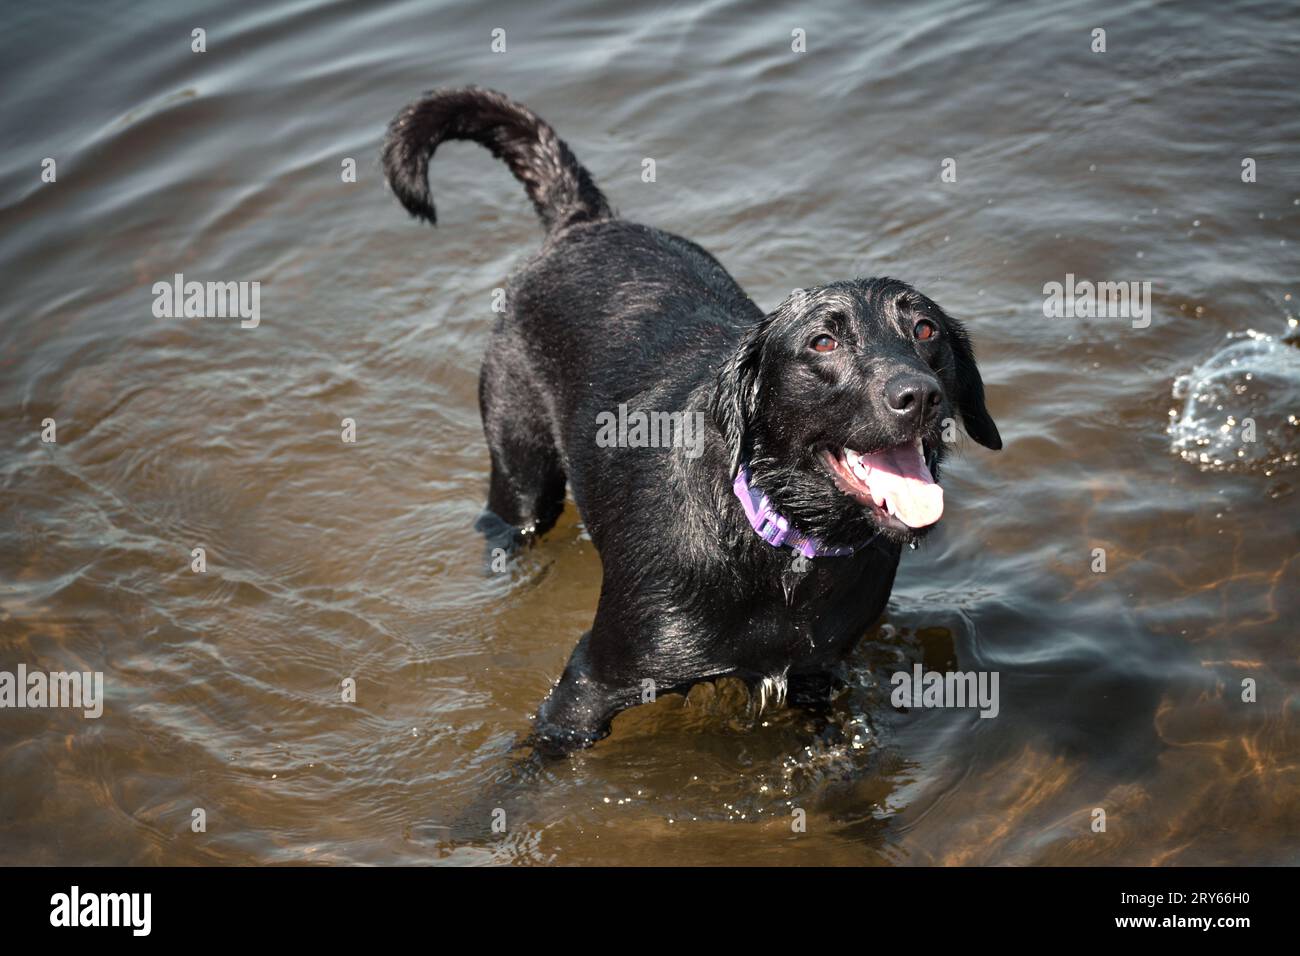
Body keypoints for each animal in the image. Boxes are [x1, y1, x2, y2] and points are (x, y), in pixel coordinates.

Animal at [379, 87, 998, 754]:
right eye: (824, 341)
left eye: (926, 330)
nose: (921, 395)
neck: (780, 546)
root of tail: (585, 222)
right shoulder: (587, 687)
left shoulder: (816, 672)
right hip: (520, 475)